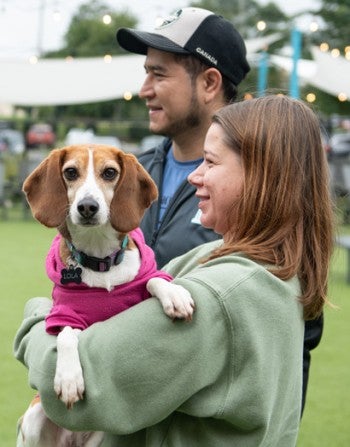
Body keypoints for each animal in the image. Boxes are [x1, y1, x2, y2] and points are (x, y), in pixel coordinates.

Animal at [19, 144, 194, 447]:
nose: (87, 206)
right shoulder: (63, 315)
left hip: (102, 435)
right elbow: (66, 335)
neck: (100, 260)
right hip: (32, 420)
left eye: (110, 172)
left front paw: (174, 294)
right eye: (70, 172)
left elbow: (152, 280)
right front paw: (68, 379)